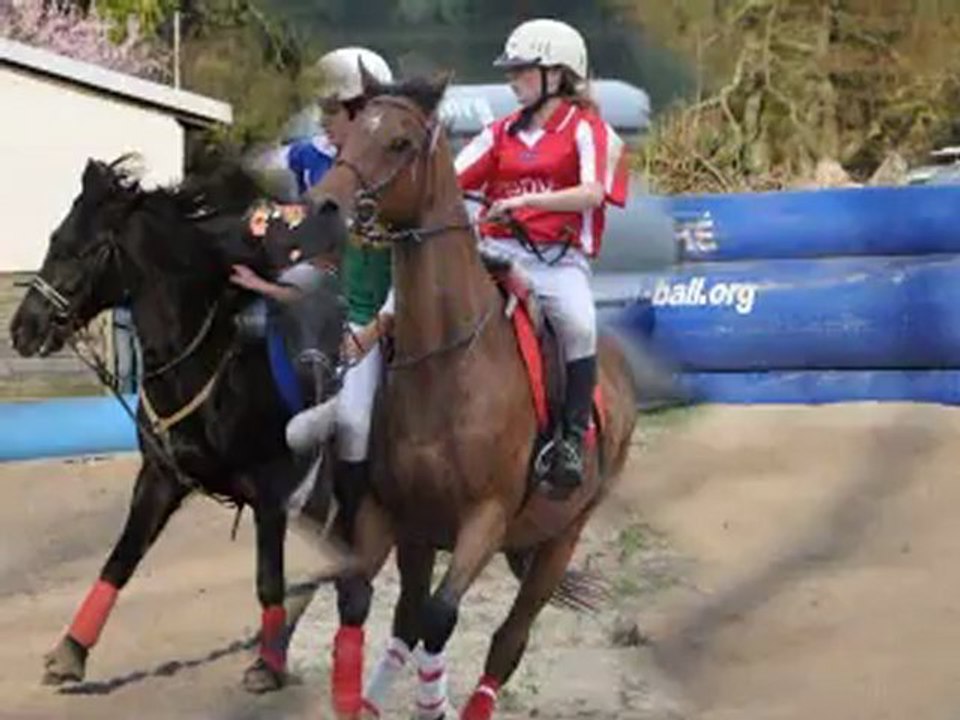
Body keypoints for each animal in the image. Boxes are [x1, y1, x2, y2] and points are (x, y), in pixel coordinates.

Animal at [8, 155, 348, 694]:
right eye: (54, 239)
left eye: (80, 250)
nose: (23, 329)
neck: (210, 366)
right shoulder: (161, 476)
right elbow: (121, 558)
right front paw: (70, 651)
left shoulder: (270, 490)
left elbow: (268, 579)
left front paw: (267, 665)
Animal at [305, 68, 644, 719]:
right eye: (353, 132)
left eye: (400, 143)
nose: (323, 207)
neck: (446, 363)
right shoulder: (392, 511)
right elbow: (362, 599)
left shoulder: (484, 519)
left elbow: (442, 616)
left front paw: (431, 703)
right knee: (406, 619)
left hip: (562, 535)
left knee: (508, 637)